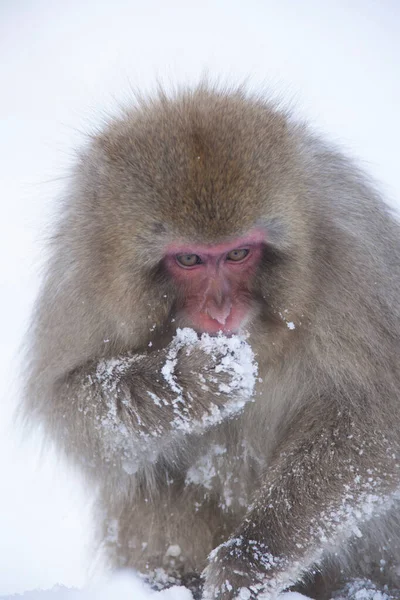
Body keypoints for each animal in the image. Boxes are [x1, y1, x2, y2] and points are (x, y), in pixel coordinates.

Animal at [23, 85, 400, 600]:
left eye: (238, 253)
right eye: (189, 259)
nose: (221, 311)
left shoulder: (354, 260)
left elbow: (376, 416)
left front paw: (253, 556)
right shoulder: (83, 276)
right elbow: (71, 409)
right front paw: (189, 381)